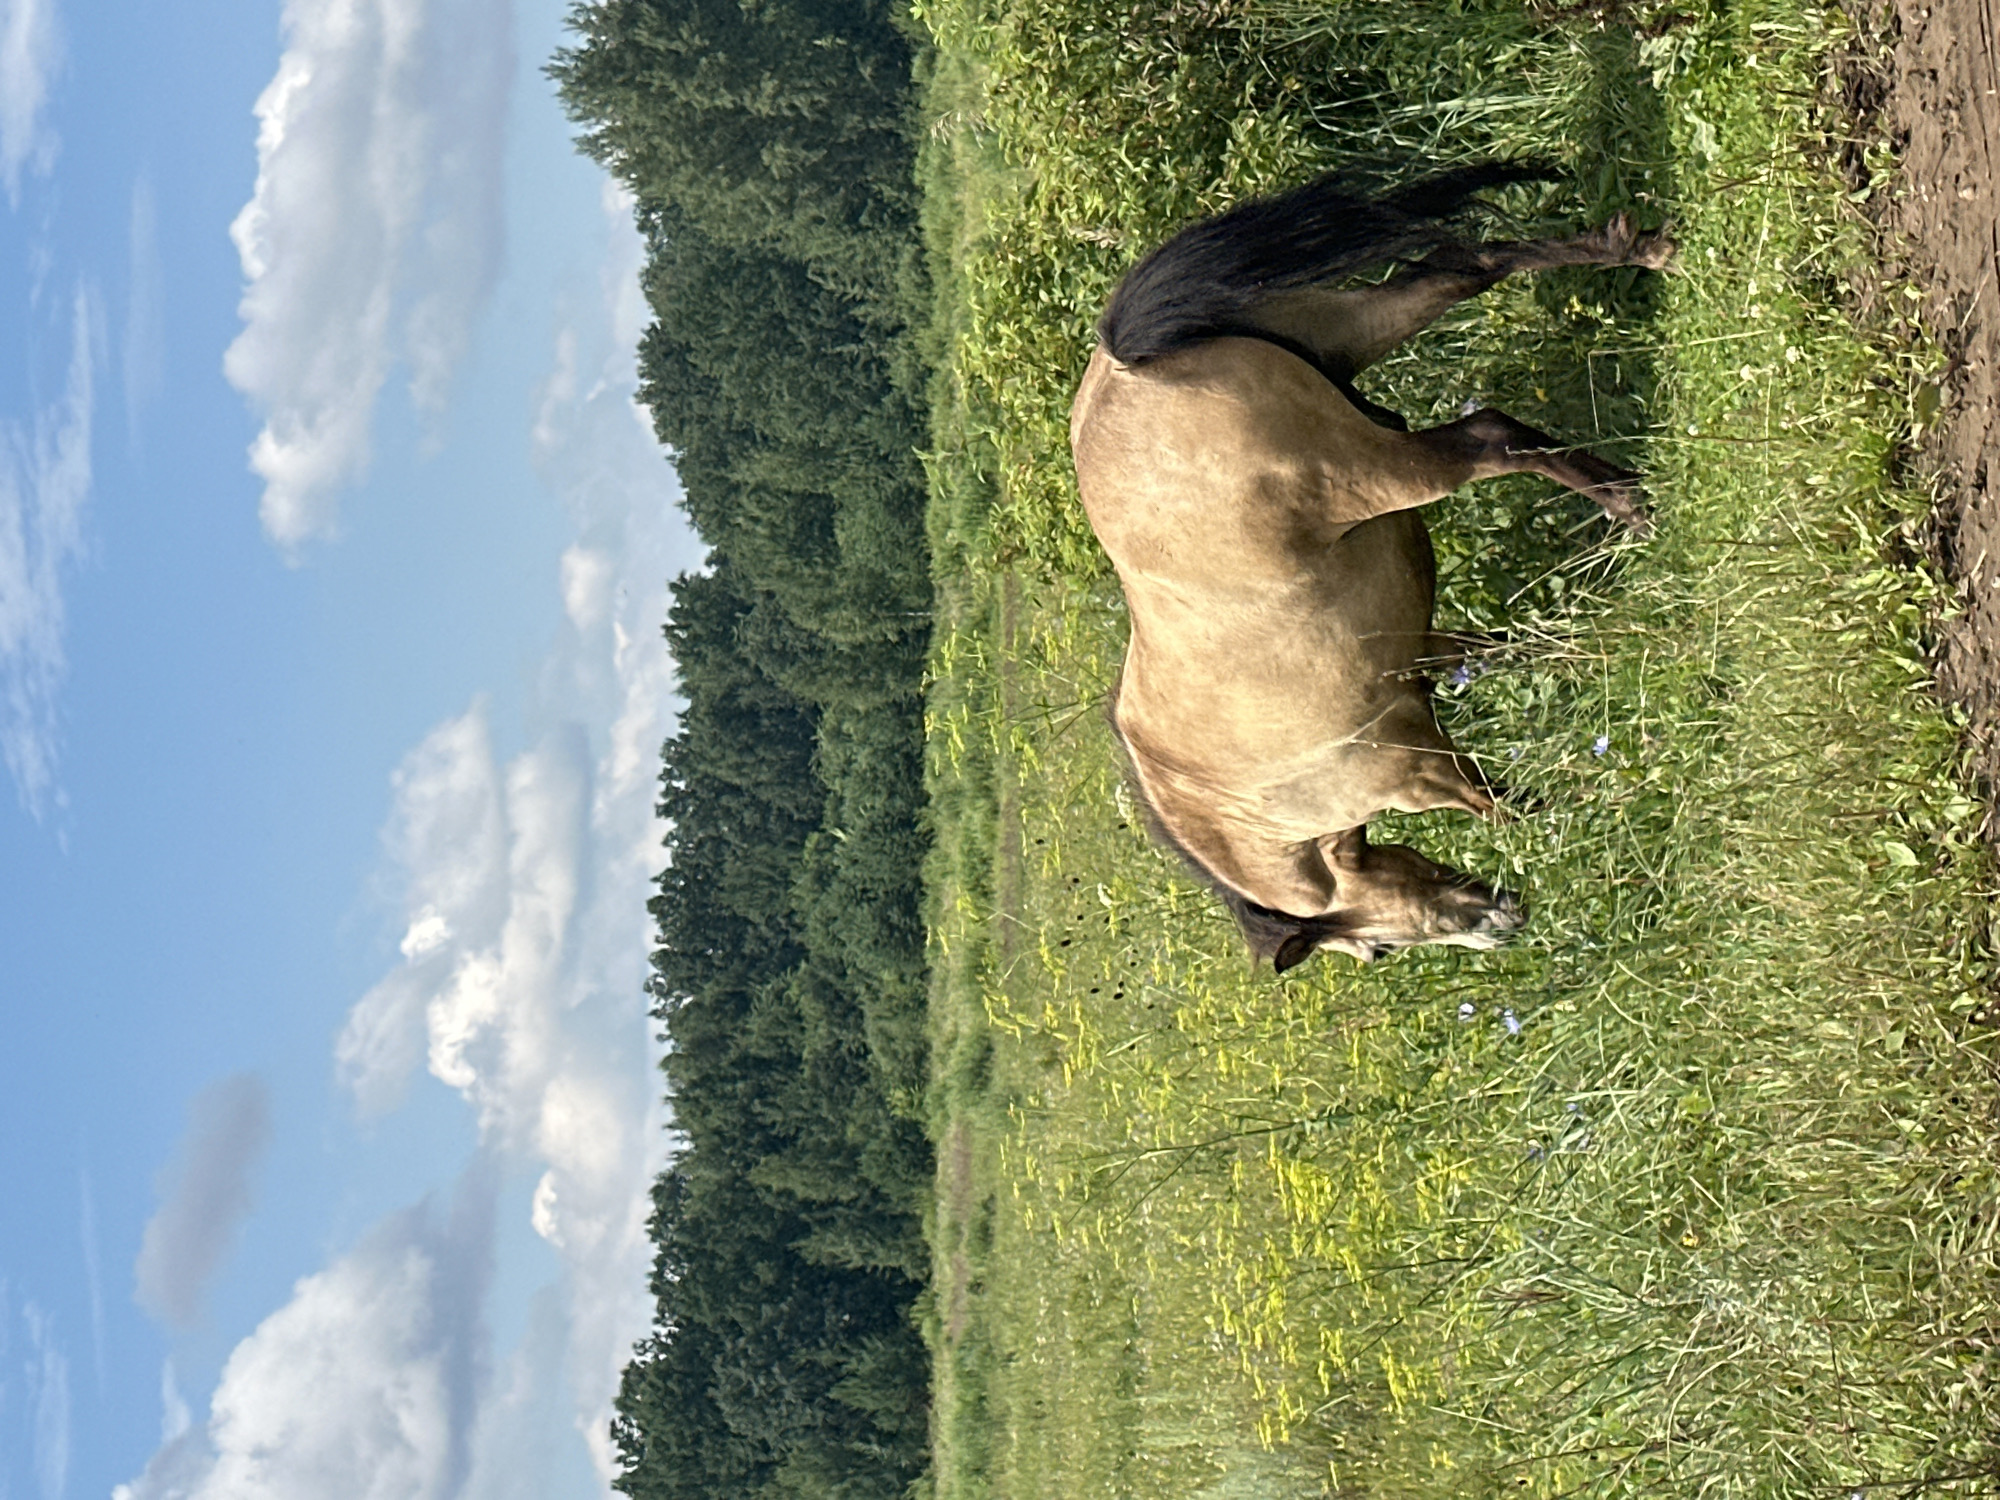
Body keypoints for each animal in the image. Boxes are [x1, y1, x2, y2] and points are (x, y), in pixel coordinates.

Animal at [1069, 166, 1671, 971]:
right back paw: (1640, 257)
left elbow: (1498, 807)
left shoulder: (1418, 771)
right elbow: (1507, 656)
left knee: (1488, 439)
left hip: (1381, 472)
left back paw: (1628, 500)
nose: (1501, 920)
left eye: (1379, 948)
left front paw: (1565, 818)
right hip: (1351, 328)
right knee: (1466, 272)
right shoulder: (1429, 653)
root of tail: (1127, 365)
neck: (1229, 802)